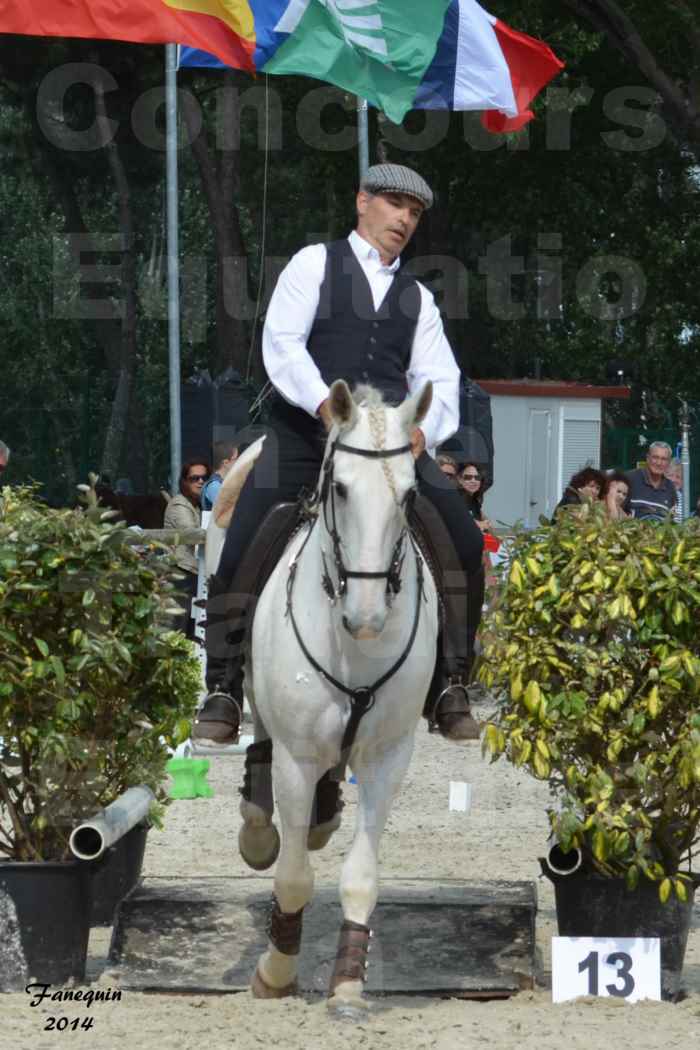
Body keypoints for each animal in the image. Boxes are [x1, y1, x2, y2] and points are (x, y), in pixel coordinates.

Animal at [209, 382, 438, 1012]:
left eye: (409, 495)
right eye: (340, 488)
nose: (367, 617)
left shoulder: (387, 758)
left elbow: (361, 876)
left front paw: (349, 984)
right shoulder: (298, 756)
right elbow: (291, 878)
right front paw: (276, 972)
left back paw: (322, 816)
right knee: (257, 738)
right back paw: (258, 830)